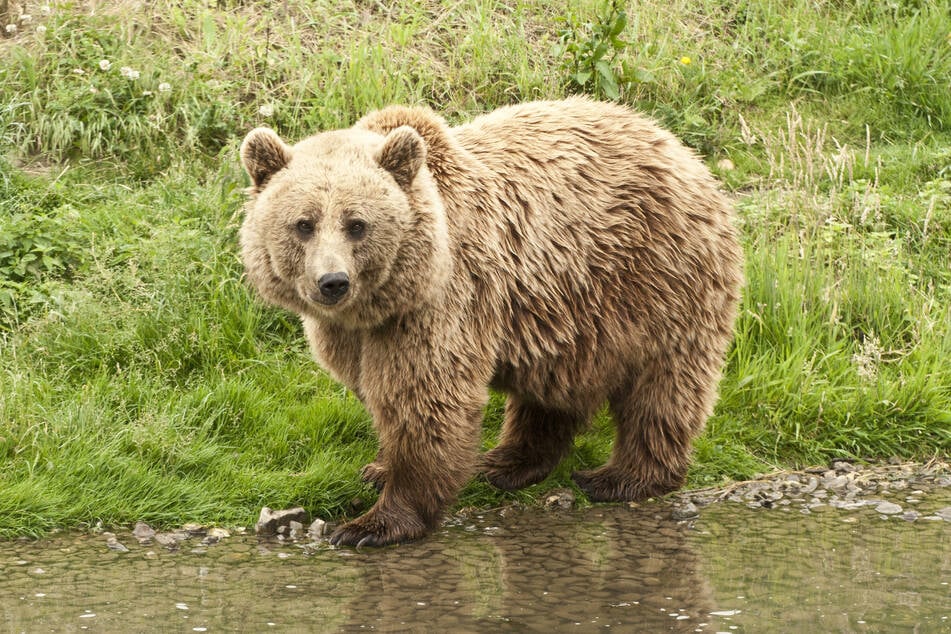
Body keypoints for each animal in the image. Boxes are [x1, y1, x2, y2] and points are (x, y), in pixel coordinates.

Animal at [236, 96, 744, 544]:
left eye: (356, 223)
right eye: (303, 223)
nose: (333, 282)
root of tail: (682, 151)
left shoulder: (442, 303)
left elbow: (427, 399)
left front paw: (372, 523)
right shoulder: (355, 335)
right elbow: (378, 393)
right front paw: (377, 468)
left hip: (656, 277)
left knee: (661, 384)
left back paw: (620, 477)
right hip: (570, 308)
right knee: (555, 387)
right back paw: (506, 461)